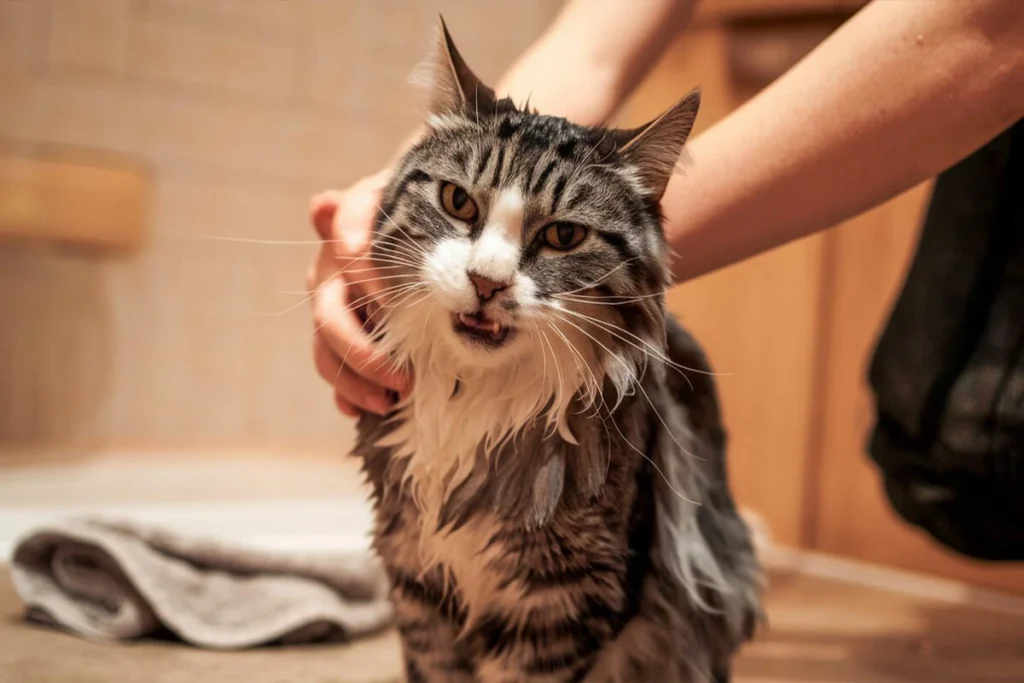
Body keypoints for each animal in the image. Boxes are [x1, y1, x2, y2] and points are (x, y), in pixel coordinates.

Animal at [352, 21, 761, 683]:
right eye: (458, 202)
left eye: (564, 235)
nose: (487, 281)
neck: (475, 397)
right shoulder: (416, 580)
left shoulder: (562, 603)